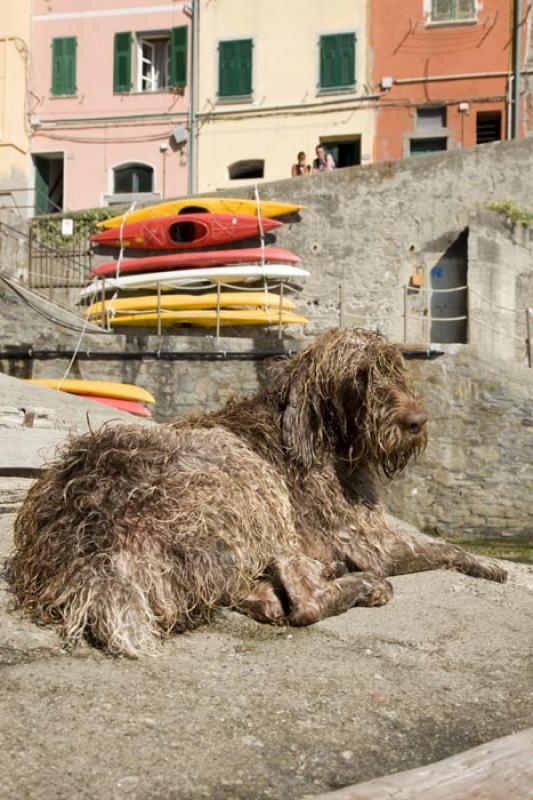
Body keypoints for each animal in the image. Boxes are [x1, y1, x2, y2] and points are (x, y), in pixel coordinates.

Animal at [9, 326, 508, 656]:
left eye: (394, 370)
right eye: (359, 377)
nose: (416, 422)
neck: (326, 436)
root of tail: (96, 545)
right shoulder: (373, 544)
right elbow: (446, 548)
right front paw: (491, 565)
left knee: (256, 594)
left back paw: (282, 590)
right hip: (247, 473)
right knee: (304, 602)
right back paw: (359, 585)